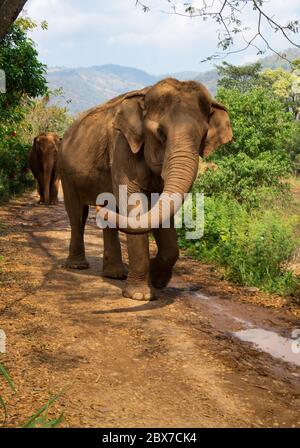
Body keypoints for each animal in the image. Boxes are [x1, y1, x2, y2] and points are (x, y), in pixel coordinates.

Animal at [58, 78, 232, 300]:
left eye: (203, 136)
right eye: (160, 134)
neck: (144, 95)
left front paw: (157, 279)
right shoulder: (122, 147)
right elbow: (134, 203)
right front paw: (140, 296)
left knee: (110, 212)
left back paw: (116, 273)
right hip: (66, 171)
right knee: (77, 214)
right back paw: (78, 266)